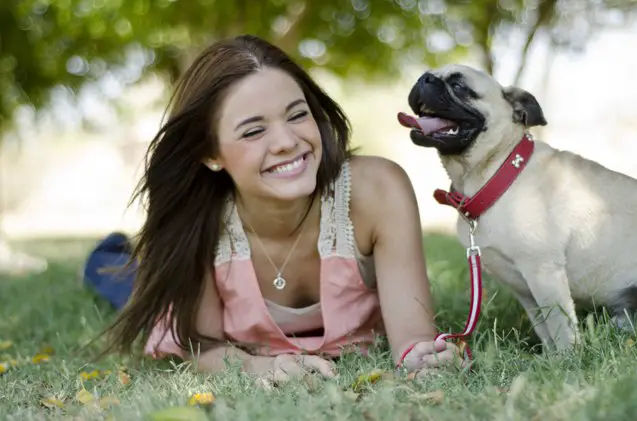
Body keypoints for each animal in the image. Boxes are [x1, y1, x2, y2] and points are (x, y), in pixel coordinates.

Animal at [396, 63, 636, 352]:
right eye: (427, 76)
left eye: (459, 86)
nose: (425, 79)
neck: (498, 171)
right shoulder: (525, 290)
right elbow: (544, 327)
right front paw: (551, 358)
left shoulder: (543, 273)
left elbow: (560, 324)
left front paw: (569, 357)